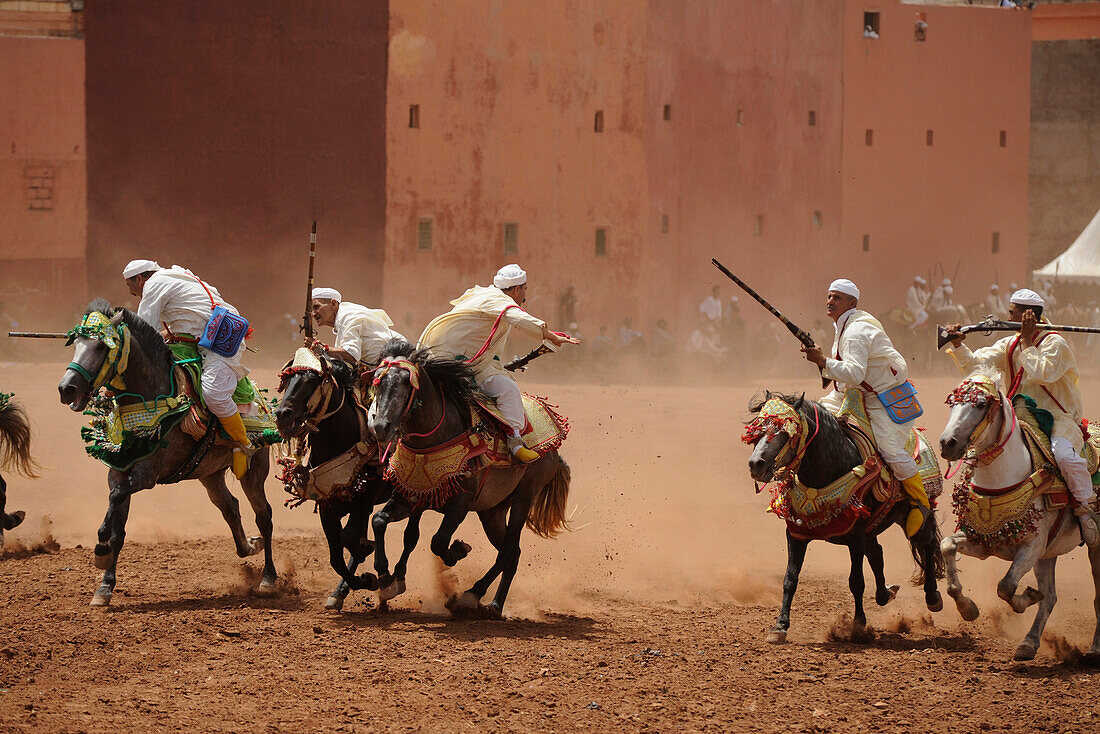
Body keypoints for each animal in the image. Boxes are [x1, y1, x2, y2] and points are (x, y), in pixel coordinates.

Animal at [275, 347, 415, 611]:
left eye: (311, 380)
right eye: (286, 380)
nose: (282, 415)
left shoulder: (363, 501)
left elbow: (349, 539)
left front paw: (368, 569)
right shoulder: (328, 505)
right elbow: (336, 556)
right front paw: (360, 581)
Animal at [369, 341, 576, 616]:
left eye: (406, 381)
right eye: (378, 381)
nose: (380, 426)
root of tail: (553, 448)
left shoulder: (460, 504)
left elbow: (437, 542)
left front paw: (458, 550)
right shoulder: (411, 496)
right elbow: (381, 521)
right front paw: (386, 579)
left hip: (524, 496)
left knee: (507, 551)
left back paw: (477, 595)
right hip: (492, 511)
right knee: (513, 553)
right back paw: (490, 602)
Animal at [743, 393, 941, 638]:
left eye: (786, 432)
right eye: (758, 429)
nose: (756, 464)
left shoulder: (855, 538)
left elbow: (856, 581)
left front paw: (858, 625)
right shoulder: (796, 535)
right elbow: (790, 579)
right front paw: (780, 626)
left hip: (913, 516)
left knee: (927, 543)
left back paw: (933, 596)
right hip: (871, 529)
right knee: (877, 553)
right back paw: (885, 594)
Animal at [937, 374, 1100, 660]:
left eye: (981, 404)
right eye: (952, 403)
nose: (948, 443)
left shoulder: (1031, 547)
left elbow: (1006, 585)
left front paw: (1027, 598)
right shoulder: (983, 543)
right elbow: (947, 547)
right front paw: (968, 609)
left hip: (1093, 548)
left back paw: (1094, 648)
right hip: (1048, 555)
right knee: (1051, 597)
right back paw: (1029, 642)